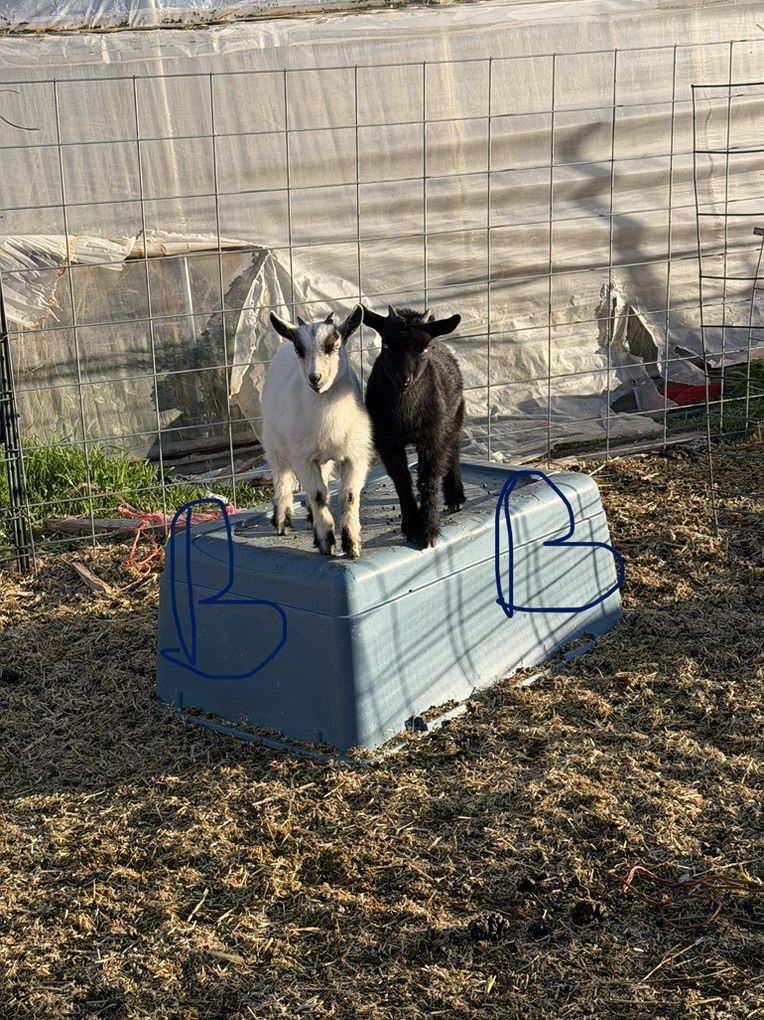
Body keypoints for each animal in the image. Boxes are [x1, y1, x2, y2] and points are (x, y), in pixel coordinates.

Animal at [262, 306, 372, 559]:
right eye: (299, 350)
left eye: (334, 346)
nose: (315, 378)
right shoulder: (303, 458)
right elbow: (318, 495)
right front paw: (326, 542)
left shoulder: (355, 455)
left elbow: (349, 496)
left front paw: (352, 545)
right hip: (275, 444)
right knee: (282, 478)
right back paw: (282, 521)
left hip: (324, 458)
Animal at [362, 304, 465, 549]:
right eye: (386, 345)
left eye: (424, 349)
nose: (404, 379)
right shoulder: (386, 441)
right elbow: (402, 479)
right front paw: (411, 526)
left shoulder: (433, 436)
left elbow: (429, 480)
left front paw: (428, 531)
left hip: (454, 415)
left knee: (454, 450)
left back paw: (455, 496)